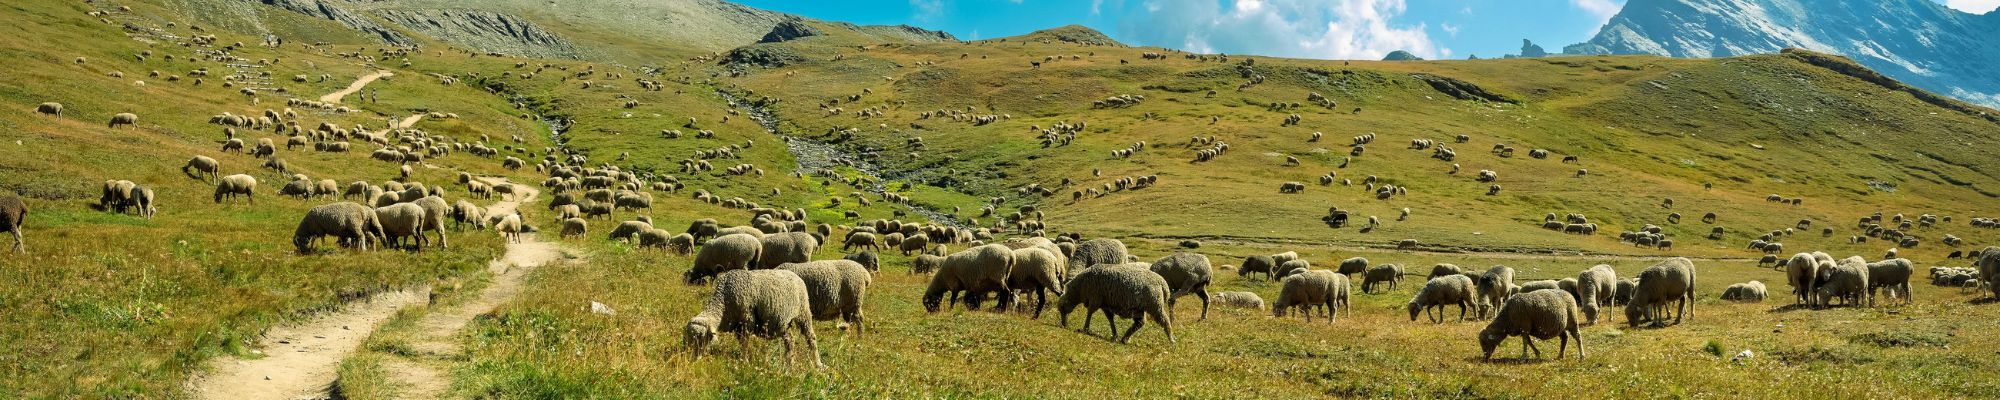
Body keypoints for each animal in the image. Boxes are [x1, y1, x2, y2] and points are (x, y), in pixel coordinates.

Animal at [681, 269, 822, 369]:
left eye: (702, 338)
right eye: (688, 339)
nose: (692, 359)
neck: (724, 300)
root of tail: (796, 276)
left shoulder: (746, 321)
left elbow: (744, 343)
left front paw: (744, 362)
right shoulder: (738, 327)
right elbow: (742, 343)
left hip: (803, 312)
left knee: (811, 338)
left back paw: (817, 363)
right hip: (784, 322)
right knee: (790, 341)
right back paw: (790, 364)